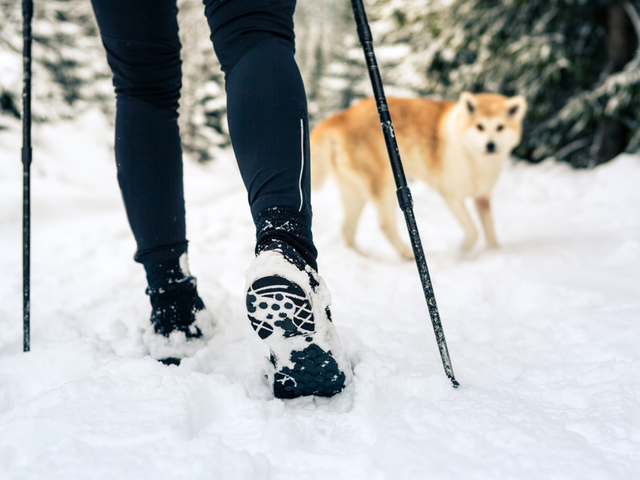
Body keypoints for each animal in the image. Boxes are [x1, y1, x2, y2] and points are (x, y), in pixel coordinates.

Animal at [310, 92, 524, 260]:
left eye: (500, 127)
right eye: (480, 126)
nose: (491, 145)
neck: (473, 155)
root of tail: (341, 116)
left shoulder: (482, 197)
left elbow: (489, 231)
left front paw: (494, 252)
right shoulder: (452, 197)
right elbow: (473, 231)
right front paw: (463, 251)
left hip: (355, 192)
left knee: (347, 229)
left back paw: (359, 256)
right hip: (386, 185)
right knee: (385, 225)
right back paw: (406, 254)